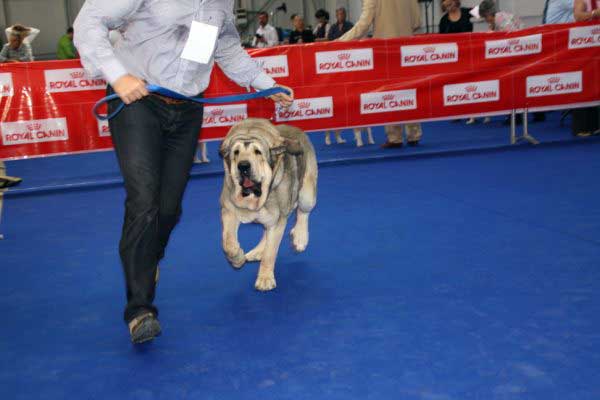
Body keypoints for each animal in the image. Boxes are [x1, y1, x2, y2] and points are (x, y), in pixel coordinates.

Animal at [218, 118, 316, 290]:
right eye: (236, 152)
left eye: (258, 152)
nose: (243, 166)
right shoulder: (228, 210)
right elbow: (228, 242)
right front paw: (236, 259)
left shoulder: (278, 220)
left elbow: (271, 252)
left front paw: (265, 278)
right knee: (266, 230)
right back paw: (257, 251)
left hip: (307, 194)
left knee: (303, 213)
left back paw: (300, 238)